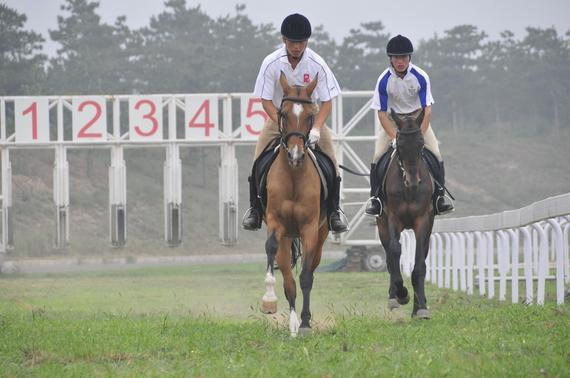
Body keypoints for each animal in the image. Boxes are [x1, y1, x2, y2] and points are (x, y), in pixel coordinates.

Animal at [258, 71, 326, 336]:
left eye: (310, 116)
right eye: (283, 113)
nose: (295, 156)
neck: (294, 176)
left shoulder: (309, 229)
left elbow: (306, 276)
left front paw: (306, 324)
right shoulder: (276, 224)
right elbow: (271, 252)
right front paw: (269, 301)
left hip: (320, 236)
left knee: (311, 270)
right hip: (287, 237)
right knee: (288, 277)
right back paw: (293, 323)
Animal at [374, 109, 432, 318]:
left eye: (421, 143)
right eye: (399, 145)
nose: (413, 182)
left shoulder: (423, 220)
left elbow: (419, 263)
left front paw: (420, 308)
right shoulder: (393, 218)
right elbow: (394, 251)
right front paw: (401, 293)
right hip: (382, 225)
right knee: (390, 258)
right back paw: (394, 297)